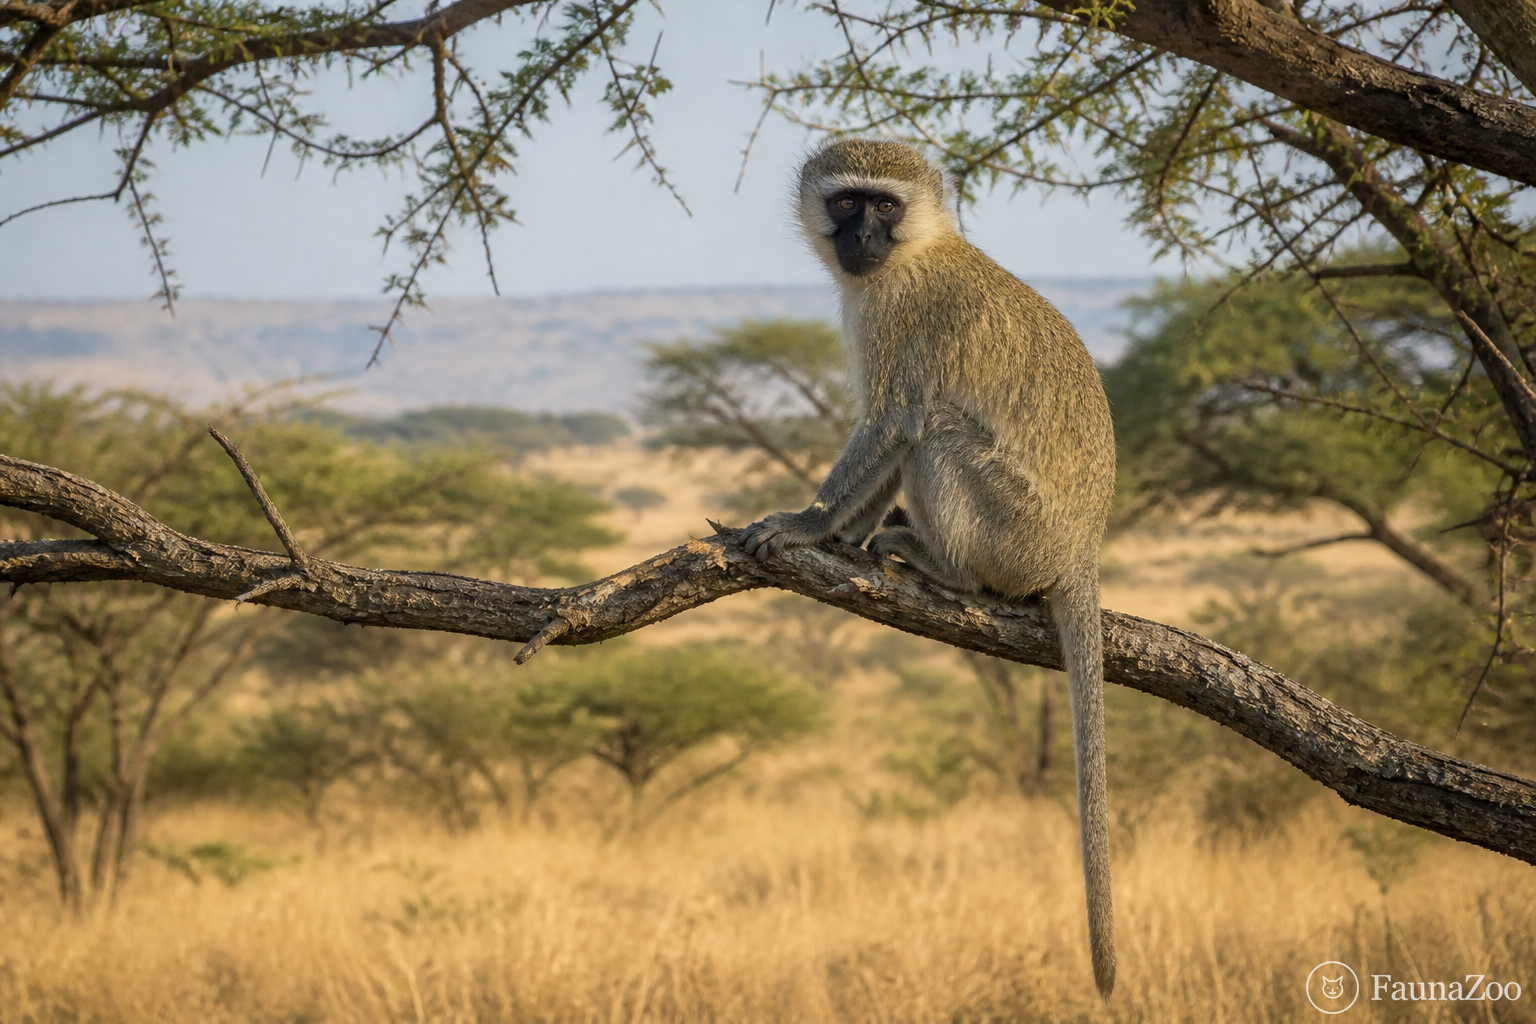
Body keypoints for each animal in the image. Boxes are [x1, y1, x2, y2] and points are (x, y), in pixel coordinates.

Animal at [739, 138, 1118, 998]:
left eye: (885, 205)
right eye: (848, 202)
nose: (861, 238)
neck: (913, 253)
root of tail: (1081, 547)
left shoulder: (901, 317)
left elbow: (893, 421)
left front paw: (806, 524)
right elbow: (886, 434)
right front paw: (839, 537)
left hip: (1016, 531)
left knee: (937, 430)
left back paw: (945, 569)